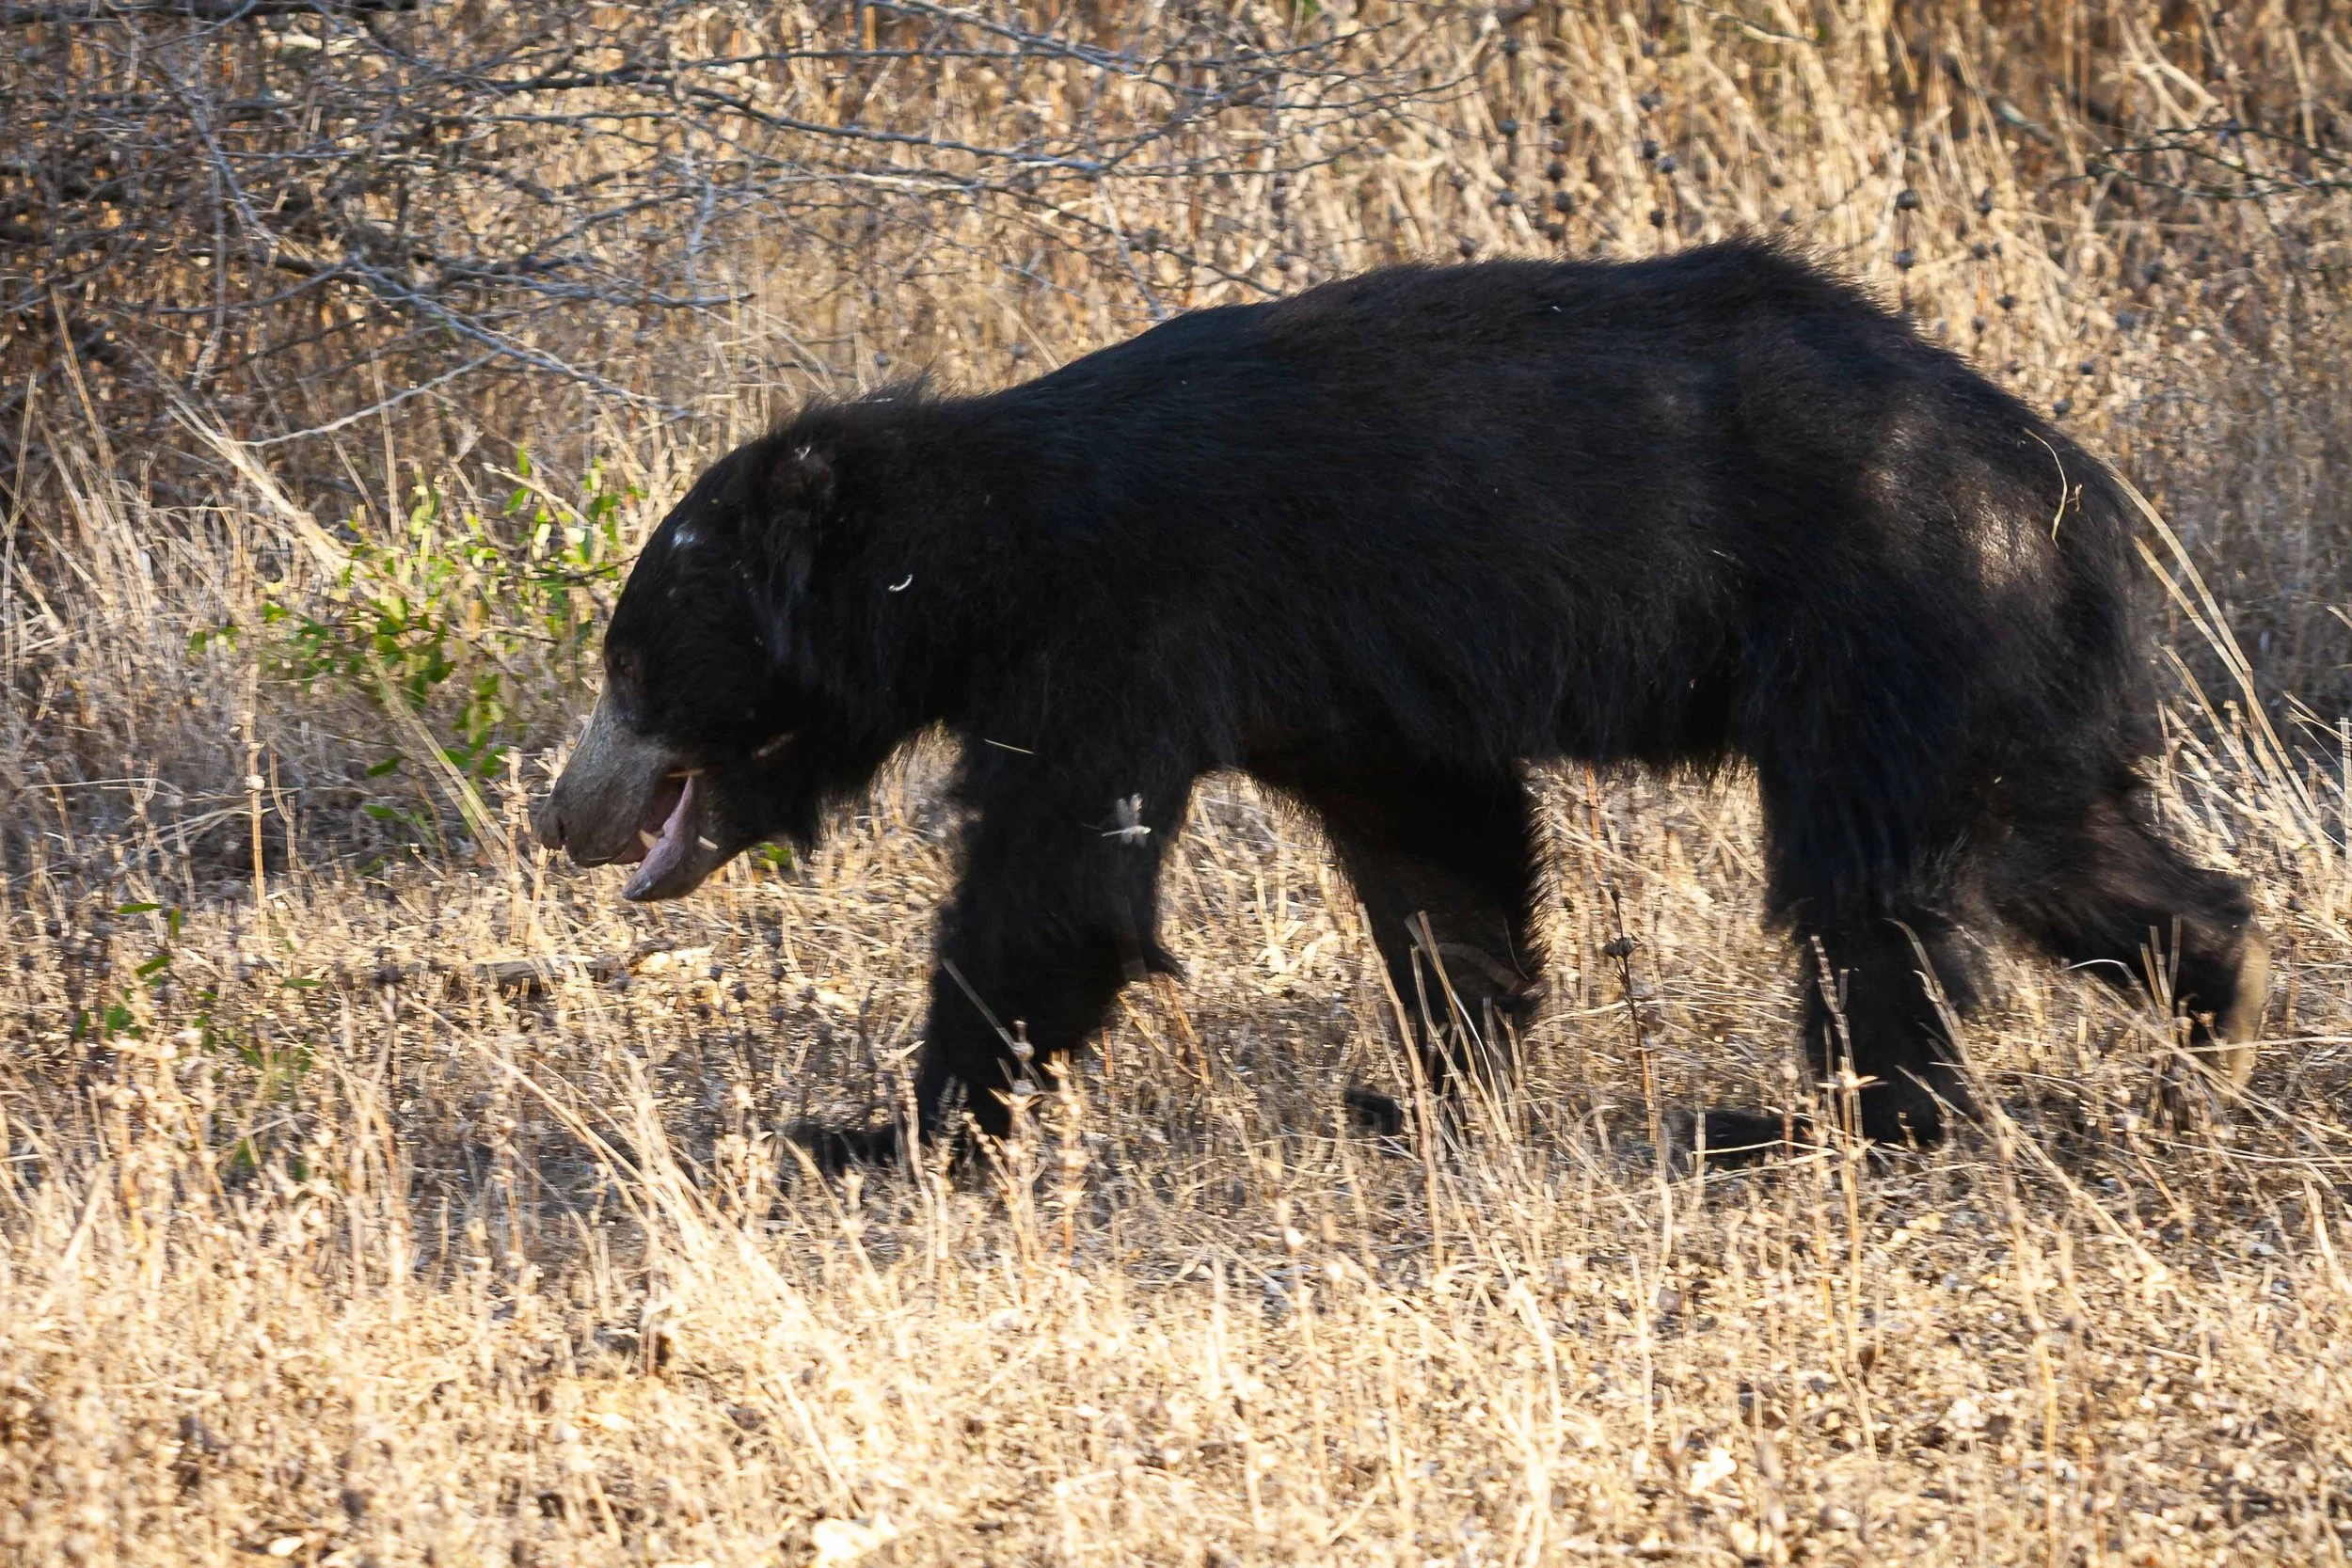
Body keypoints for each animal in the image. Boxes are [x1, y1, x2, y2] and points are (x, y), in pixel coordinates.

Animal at [533, 237, 2267, 1157]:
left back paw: (1828, 1118)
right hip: (1976, 659)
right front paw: (1434, 1087)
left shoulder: (1124, 627)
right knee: (2042, 845)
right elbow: (1439, 855)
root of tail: (2063, 478)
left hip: (1875, 617)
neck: (972, 554)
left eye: (630, 671)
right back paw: (2223, 1003)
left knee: (1870, 886)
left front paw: (884, 1127)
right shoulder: (1340, 681)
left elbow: (1054, 886)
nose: (561, 810)